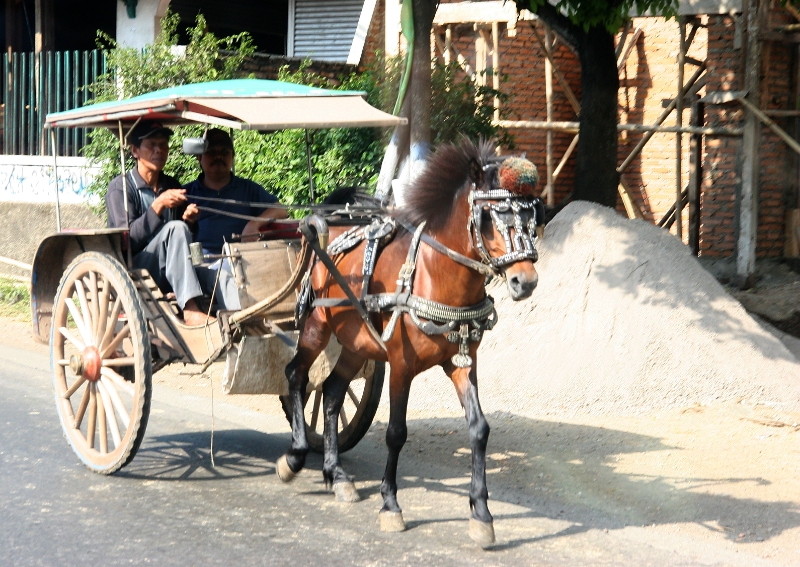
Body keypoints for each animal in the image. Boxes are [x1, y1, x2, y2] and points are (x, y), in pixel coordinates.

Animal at [276, 138, 544, 544]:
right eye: (491, 217)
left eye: (531, 217)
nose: (524, 281)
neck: (435, 276)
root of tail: (335, 225)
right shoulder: (401, 365)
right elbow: (396, 433)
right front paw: (390, 504)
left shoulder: (462, 363)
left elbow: (479, 429)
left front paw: (481, 512)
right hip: (317, 326)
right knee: (297, 375)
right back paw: (294, 457)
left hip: (357, 343)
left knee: (334, 392)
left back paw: (336, 473)